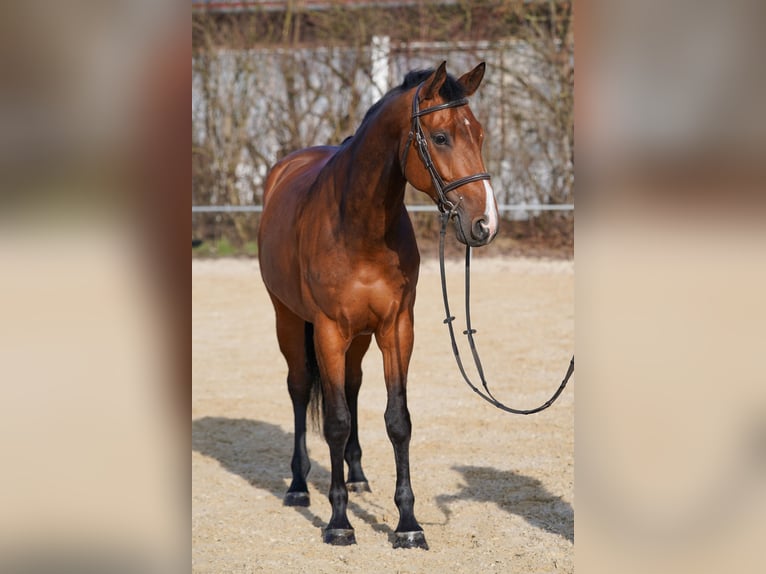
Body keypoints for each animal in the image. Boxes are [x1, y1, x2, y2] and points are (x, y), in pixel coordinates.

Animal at [258, 60, 498, 552]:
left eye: (480, 134)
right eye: (441, 137)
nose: (485, 223)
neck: (358, 225)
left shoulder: (396, 328)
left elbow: (397, 420)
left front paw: (407, 523)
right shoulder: (328, 330)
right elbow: (334, 421)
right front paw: (339, 523)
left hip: (360, 337)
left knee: (351, 387)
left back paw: (357, 476)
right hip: (288, 319)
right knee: (299, 389)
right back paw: (298, 485)